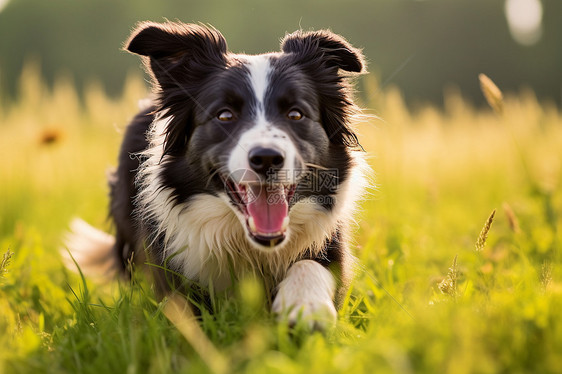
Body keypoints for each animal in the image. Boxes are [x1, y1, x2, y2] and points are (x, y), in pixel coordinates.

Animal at [64, 21, 368, 328]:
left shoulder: (330, 243)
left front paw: (307, 306)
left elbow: (312, 265)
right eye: (224, 115)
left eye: (296, 114)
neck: (249, 245)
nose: (267, 158)